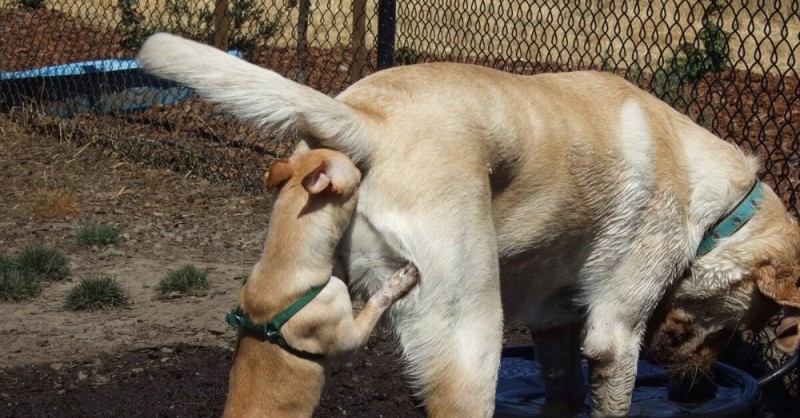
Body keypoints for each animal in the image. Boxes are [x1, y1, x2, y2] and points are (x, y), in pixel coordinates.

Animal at [222, 149, 416, 416]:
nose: (365, 165)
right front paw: (398, 282)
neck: (284, 266)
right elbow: (376, 301)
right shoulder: (350, 342)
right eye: (358, 176)